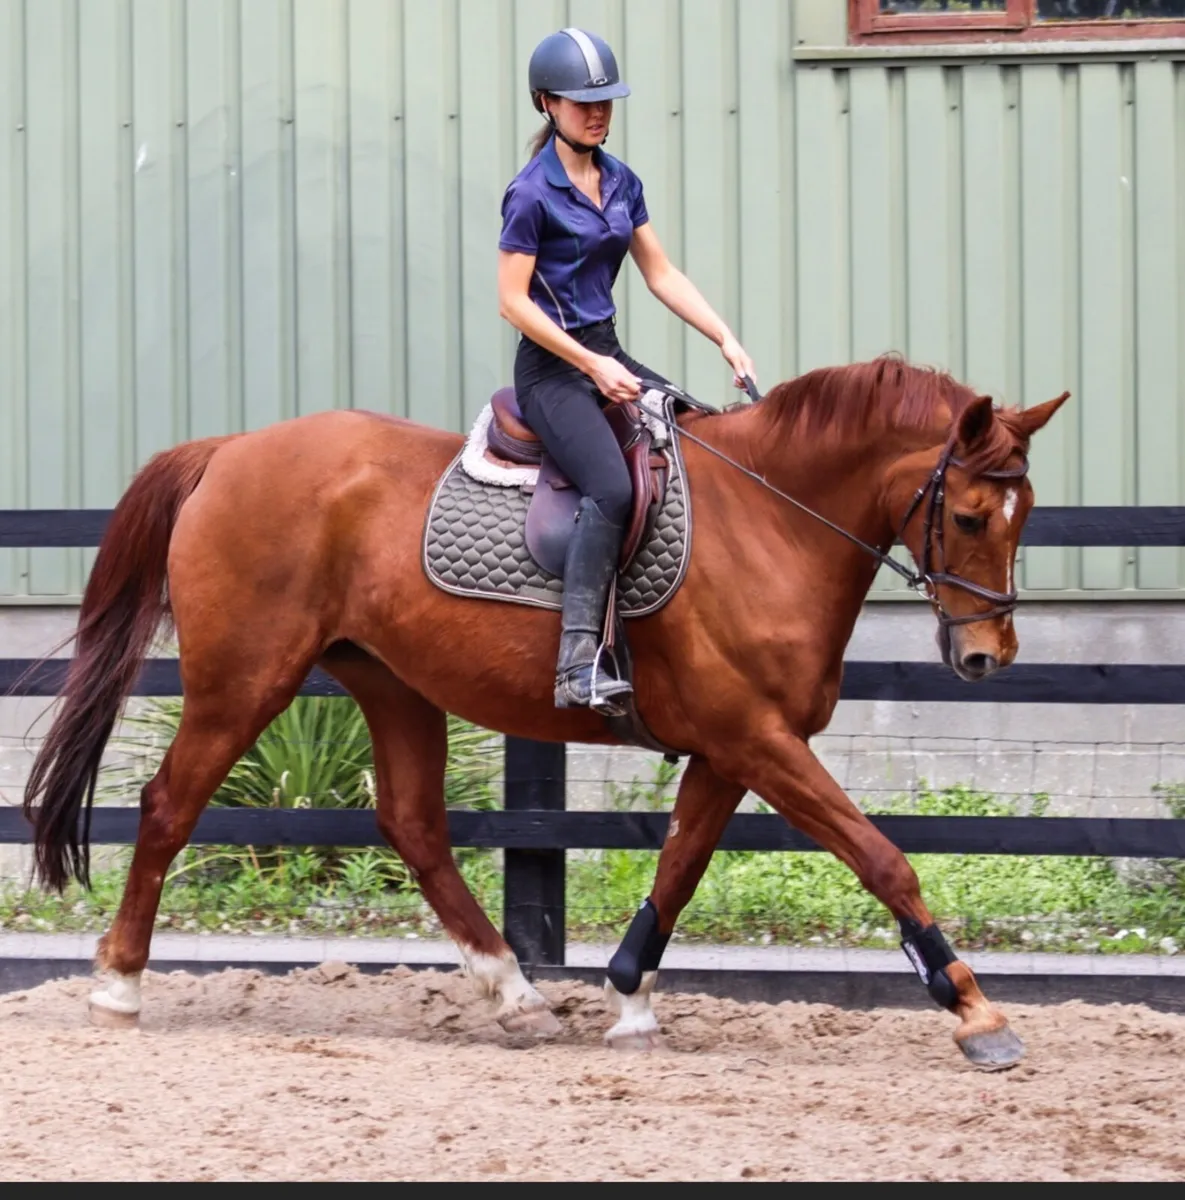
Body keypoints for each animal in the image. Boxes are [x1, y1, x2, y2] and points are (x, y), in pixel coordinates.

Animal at [19, 354, 1067, 1069]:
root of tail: (229, 452)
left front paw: (630, 999)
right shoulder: (757, 740)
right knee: (169, 806)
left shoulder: (729, 749)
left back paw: (516, 994)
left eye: (1023, 516)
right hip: (243, 680)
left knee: (413, 828)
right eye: (968, 516)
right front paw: (975, 1012)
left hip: (392, 685)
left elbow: (679, 868)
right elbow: (882, 858)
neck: (771, 522)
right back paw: (117, 987)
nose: (986, 657)